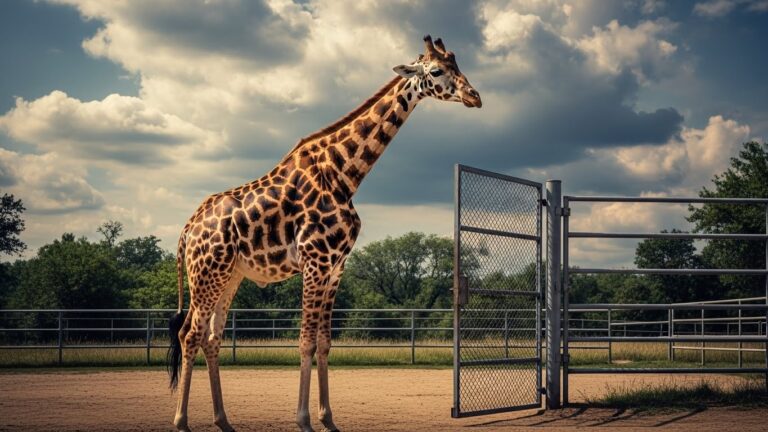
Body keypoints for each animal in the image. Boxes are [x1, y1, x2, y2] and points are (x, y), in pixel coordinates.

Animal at [166, 35, 481, 432]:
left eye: (459, 67)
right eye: (437, 71)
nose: (474, 96)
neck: (345, 175)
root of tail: (187, 229)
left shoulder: (336, 267)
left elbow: (324, 343)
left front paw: (328, 418)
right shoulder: (315, 262)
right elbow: (304, 342)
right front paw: (303, 420)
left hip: (230, 276)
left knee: (211, 337)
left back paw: (224, 420)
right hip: (206, 274)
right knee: (189, 334)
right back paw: (181, 421)